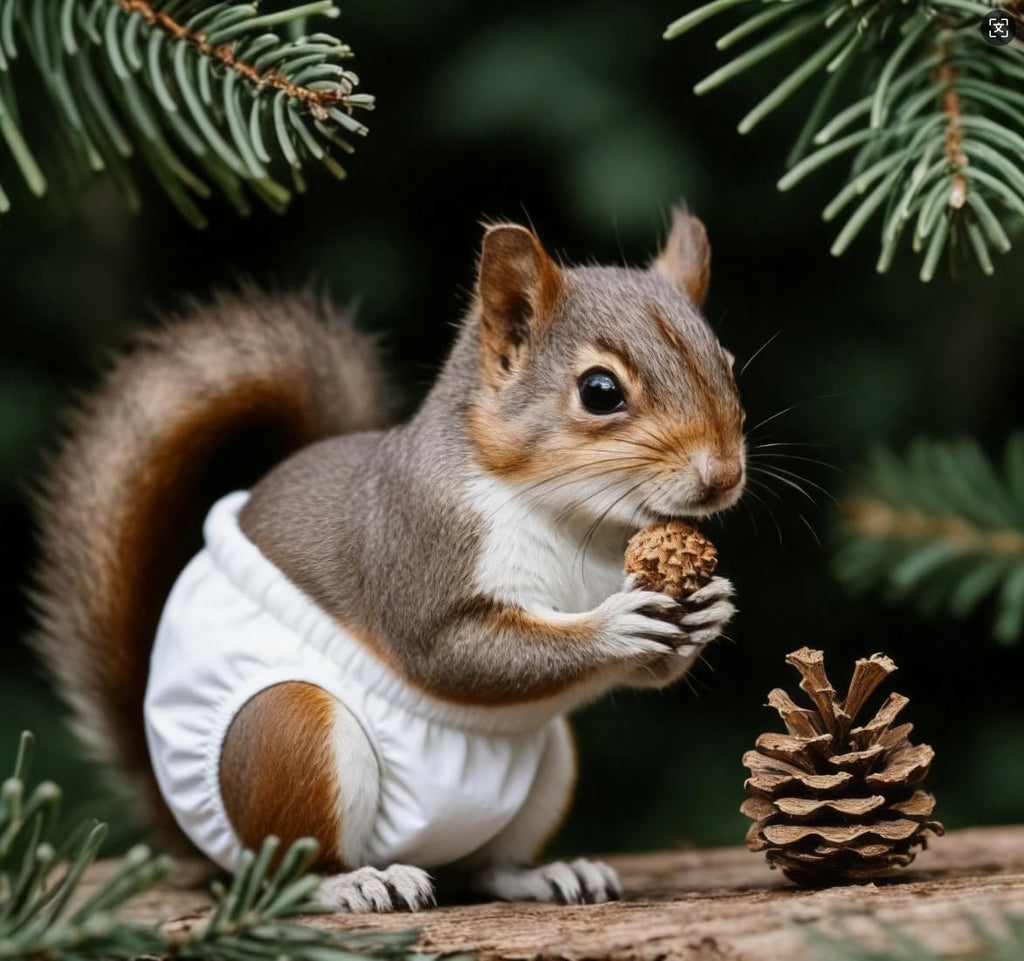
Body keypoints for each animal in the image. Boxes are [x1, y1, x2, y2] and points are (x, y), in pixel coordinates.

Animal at [31, 206, 746, 913]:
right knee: (283, 871)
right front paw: (613, 627)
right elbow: (450, 653)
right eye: (599, 391)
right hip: (289, 735)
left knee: (479, 869)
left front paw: (709, 608)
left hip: (544, 767)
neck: (569, 520)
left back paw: (543, 874)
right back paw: (353, 881)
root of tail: (199, 839)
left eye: (729, 363)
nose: (723, 475)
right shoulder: (419, 545)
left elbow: (653, 669)